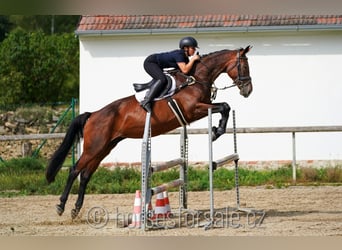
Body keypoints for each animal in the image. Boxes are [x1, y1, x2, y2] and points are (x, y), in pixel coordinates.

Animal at [45, 46, 252, 218]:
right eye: (244, 66)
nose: (248, 90)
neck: (195, 78)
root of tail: (93, 114)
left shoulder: (200, 109)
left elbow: (225, 106)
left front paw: (218, 130)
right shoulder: (194, 109)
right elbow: (224, 106)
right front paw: (217, 131)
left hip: (105, 147)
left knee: (86, 175)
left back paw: (76, 209)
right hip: (93, 148)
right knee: (74, 170)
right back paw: (61, 206)